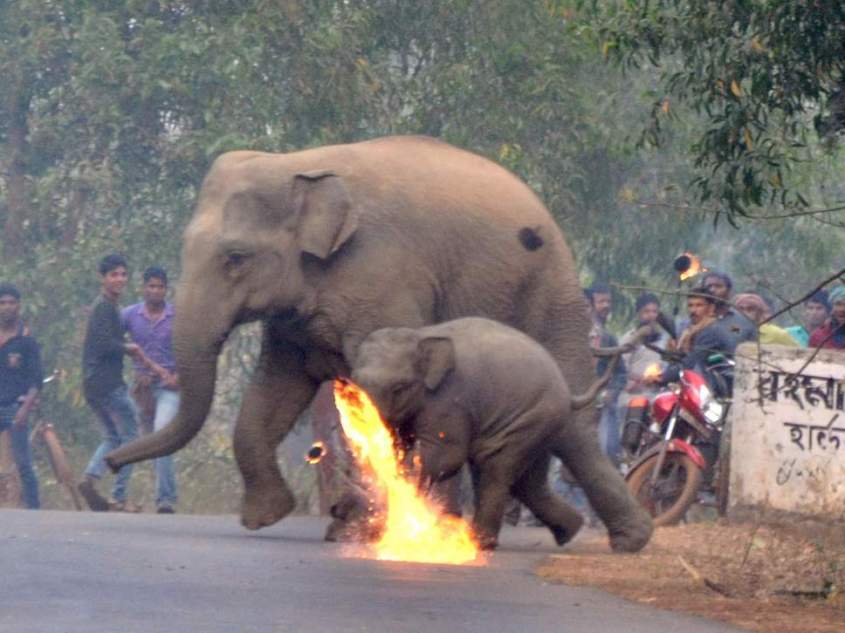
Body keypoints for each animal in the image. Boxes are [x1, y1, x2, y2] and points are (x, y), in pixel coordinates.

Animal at [350, 317, 640, 550]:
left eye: (399, 387)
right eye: (353, 385)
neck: (420, 335)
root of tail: (566, 389)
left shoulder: (450, 400)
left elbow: (446, 455)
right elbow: (402, 446)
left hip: (531, 418)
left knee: (497, 466)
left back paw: (481, 542)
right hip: (540, 423)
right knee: (530, 481)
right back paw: (573, 532)